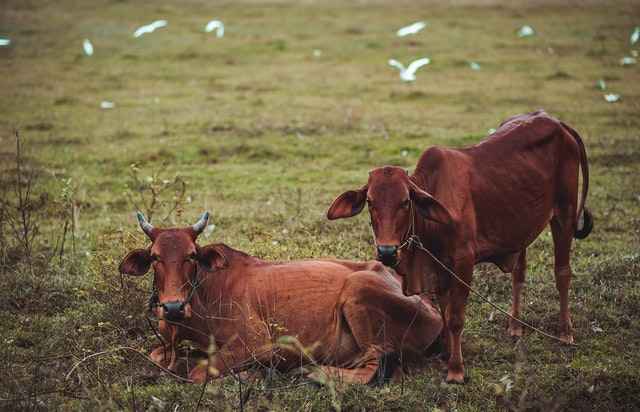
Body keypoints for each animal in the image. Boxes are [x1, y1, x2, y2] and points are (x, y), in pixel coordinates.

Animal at [117, 212, 442, 384]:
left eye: (191, 255)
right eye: (155, 257)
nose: (172, 307)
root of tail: (433, 309)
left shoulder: (258, 343)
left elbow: (198, 373)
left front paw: (249, 376)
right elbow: (158, 357)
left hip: (358, 289)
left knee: (374, 367)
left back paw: (314, 373)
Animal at [328, 109, 592, 384]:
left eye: (405, 202)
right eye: (370, 202)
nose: (386, 251)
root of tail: (556, 121)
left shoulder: (463, 263)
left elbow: (455, 318)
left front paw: (456, 369)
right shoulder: (439, 267)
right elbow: (445, 312)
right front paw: (445, 353)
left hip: (564, 214)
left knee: (562, 273)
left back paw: (565, 332)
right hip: (522, 227)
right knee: (519, 275)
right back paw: (515, 327)